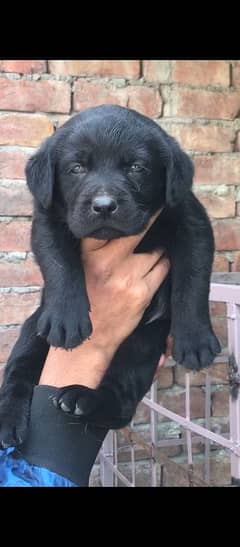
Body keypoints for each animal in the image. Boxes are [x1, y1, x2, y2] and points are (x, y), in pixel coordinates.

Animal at [0, 105, 220, 448]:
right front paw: (66, 320)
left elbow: (193, 280)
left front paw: (195, 339)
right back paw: (10, 420)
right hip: (32, 331)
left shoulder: (189, 219)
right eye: (76, 168)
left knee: (121, 401)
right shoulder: (48, 219)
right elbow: (59, 264)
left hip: (142, 343)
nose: (104, 205)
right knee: (18, 374)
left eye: (137, 168)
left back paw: (82, 400)